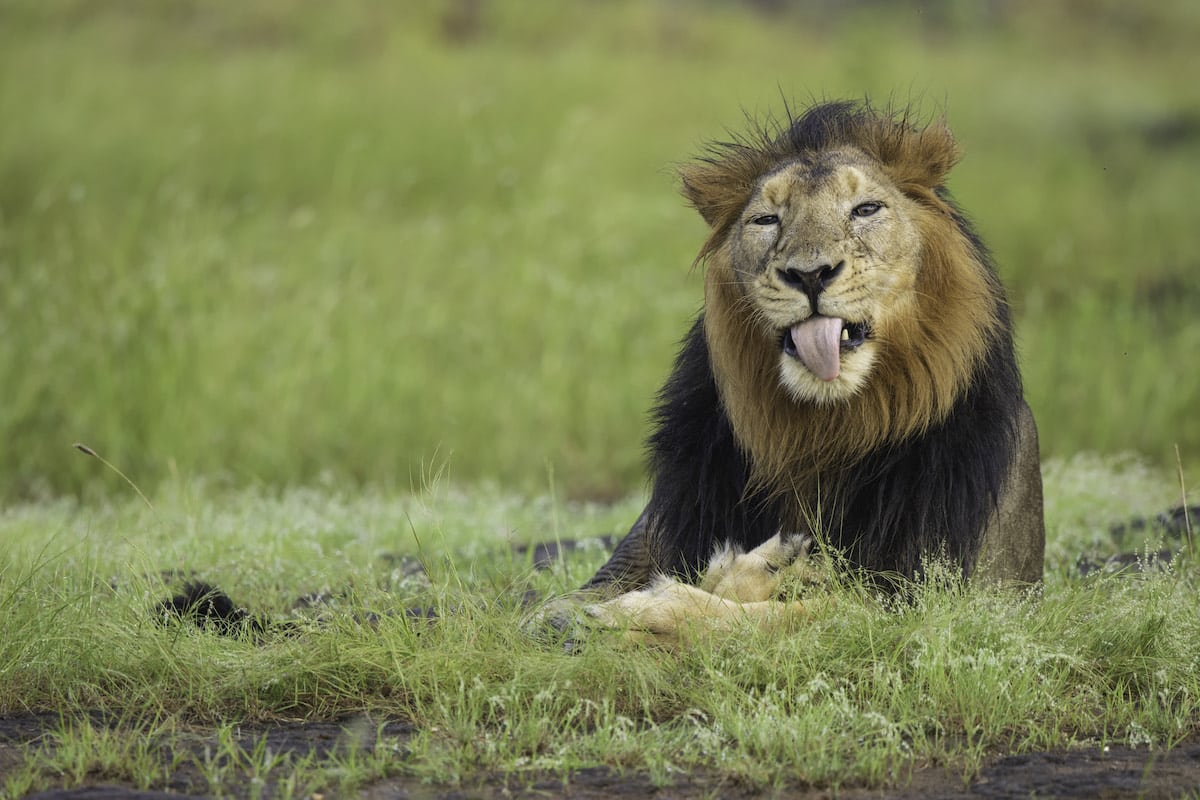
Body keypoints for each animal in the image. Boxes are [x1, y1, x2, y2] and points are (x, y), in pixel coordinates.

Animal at [561, 98, 1041, 638]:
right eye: (766, 220)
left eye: (866, 209)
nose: (809, 274)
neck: (819, 430)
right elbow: (551, 609)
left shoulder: (931, 601)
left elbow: (793, 615)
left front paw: (649, 608)